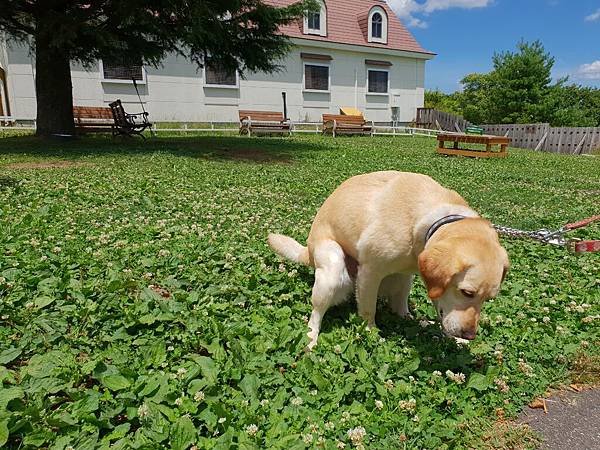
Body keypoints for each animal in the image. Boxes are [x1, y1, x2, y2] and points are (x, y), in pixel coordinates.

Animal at [270, 171, 508, 350]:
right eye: (467, 292)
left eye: (489, 299)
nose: (469, 335)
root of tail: (308, 251)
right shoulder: (370, 272)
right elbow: (368, 310)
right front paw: (371, 333)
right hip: (332, 269)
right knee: (316, 314)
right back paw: (311, 340)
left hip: (402, 278)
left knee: (400, 305)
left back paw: (413, 319)